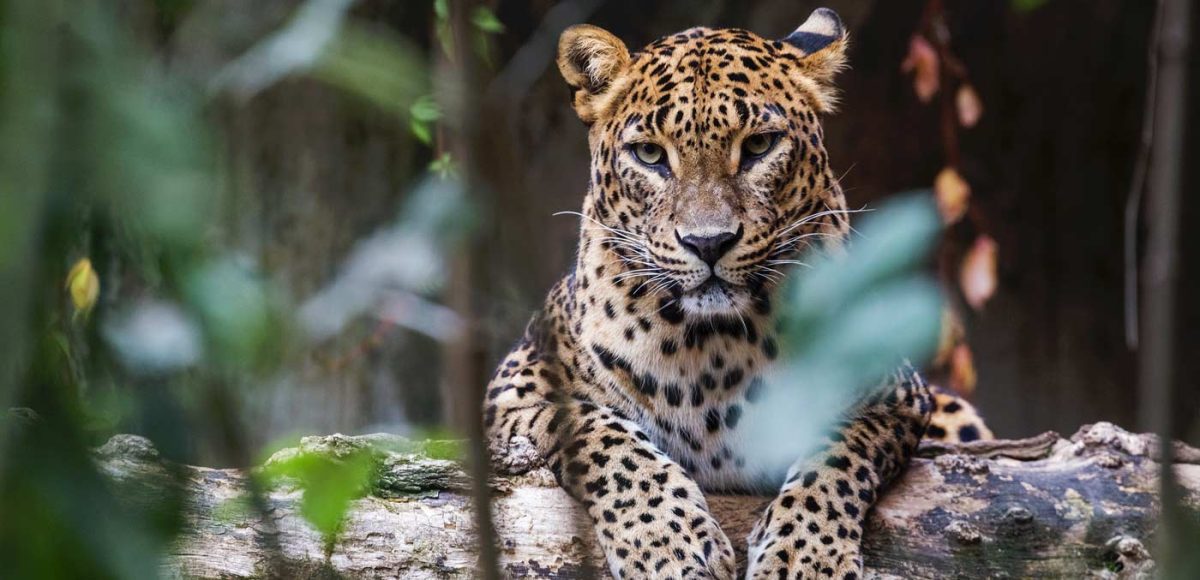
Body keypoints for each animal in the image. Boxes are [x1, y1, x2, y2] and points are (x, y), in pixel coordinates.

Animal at [484, 8, 991, 578]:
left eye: (759, 146)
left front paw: (804, 556)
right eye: (650, 154)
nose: (709, 242)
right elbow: (602, 435)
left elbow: (836, 453)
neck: (713, 347)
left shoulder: (893, 394)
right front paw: (668, 544)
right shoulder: (515, 389)